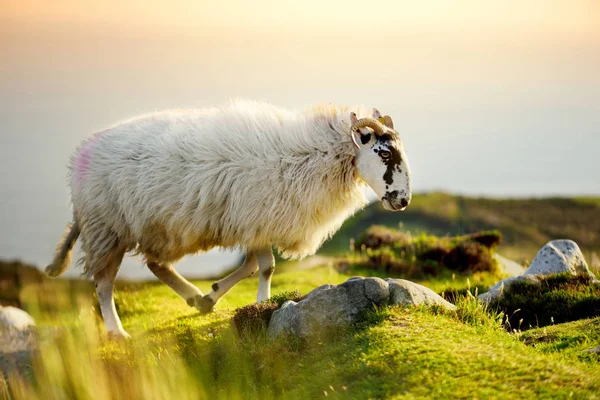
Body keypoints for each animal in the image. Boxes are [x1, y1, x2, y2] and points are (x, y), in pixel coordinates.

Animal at [45, 100, 412, 338]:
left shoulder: (258, 224)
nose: (403, 200)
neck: (317, 156)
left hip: (155, 228)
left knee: (154, 264)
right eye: (384, 152)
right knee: (104, 284)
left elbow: (254, 267)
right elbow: (264, 268)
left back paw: (193, 297)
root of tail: (78, 157)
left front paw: (216, 296)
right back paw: (116, 331)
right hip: (106, 227)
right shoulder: (259, 218)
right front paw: (259, 303)